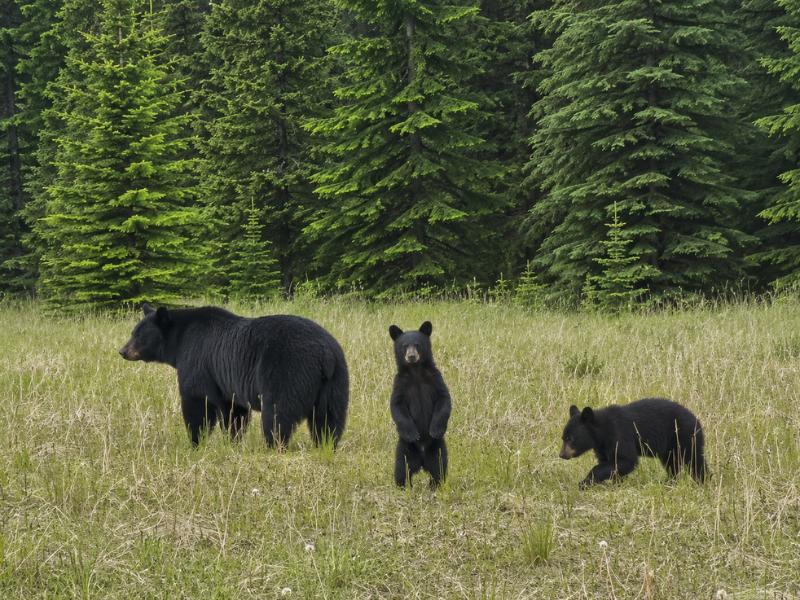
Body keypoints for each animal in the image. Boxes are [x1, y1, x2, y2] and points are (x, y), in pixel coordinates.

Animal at [119, 304, 349, 448]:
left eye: (138, 335)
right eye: (133, 332)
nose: (122, 351)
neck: (180, 341)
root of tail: (325, 354)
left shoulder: (197, 362)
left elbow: (198, 404)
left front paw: (195, 442)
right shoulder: (228, 383)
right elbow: (235, 412)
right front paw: (233, 441)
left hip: (287, 371)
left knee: (277, 414)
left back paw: (274, 445)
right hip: (335, 381)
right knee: (328, 418)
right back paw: (326, 445)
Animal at [388, 321, 452, 488]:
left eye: (417, 344)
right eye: (404, 345)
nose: (411, 356)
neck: (415, 371)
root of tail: (422, 462)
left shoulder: (435, 379)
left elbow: (444, 400)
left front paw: (435, 430)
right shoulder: (400, 384)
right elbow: (397, 407)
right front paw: (412, 434)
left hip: (437, 447)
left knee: (439, 467)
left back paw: (435, 486)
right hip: (404, 448)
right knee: (402, 468)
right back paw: (402, 486)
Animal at [559, 397, 706, 488]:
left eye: (570, 438)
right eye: (563, 438)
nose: (562, 455)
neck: (602, 433)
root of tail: (696, 419)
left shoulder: (619, 435)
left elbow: (626, 460)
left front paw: (584, 483)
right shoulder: (602, 448)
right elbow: (611, 463)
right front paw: (615, 483)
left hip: (684, 436)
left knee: (695, 460)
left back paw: (703, 481)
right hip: (671, 447)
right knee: (672, 464)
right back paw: (668, 482)